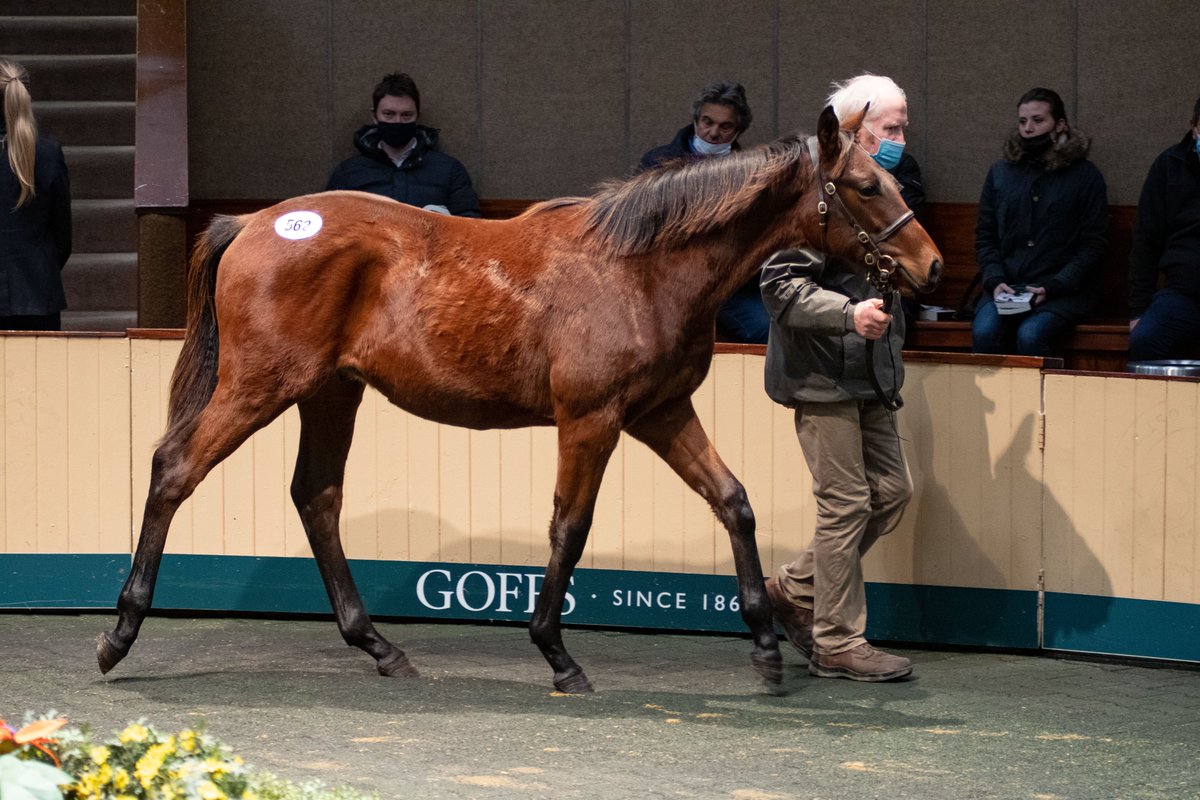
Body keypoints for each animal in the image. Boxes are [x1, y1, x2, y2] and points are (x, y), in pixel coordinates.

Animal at [97, 106, 942, 693]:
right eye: (866, 185)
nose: (930, 267)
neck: (640, 267)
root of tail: (252, 223)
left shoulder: (661, 414)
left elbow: (733, 501)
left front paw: (767, 648)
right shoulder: (592, 421)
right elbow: (569, 527)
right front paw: (557, 655)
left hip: (331, 395)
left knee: (317, 497)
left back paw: (380, 646)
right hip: (259, 387)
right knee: (175, 468)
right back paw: (119, 635)